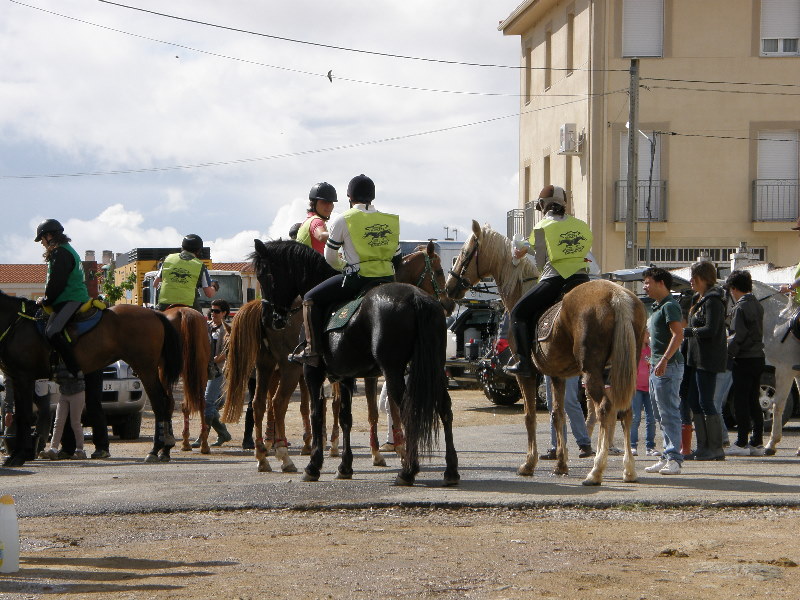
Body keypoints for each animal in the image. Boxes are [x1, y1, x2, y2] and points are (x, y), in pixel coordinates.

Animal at [0, 290, 181, 468]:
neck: (15, 325)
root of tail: (154, 313)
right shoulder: (16, 379)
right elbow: (18, 414)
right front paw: (15, 455)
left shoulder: (24, 378)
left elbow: (23, 415)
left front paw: (19, 455)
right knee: (167, 402)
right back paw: (165, 449)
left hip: (145, 369)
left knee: (159, 403)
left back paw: (155, 450)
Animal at [223, 243, 456, 474]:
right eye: (439, 271)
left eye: (265, 275)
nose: (449, 304)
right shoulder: (352, 374)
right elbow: (351, 412)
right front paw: (375, 453)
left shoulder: (343, 373)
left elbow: (346, 412)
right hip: (283, 368)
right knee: (273, 403)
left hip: (274, 367)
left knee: (264, 403)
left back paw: (268, 455)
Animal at [446, 223, 648, 486]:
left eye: (465, 252)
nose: (449, 287)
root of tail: (617, 297)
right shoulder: (556, 375)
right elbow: (557, 415)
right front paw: (561, 464)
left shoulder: (526, 374)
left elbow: (530, 416)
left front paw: (528, 464)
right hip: (622, 370)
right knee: (625, 410)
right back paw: (628, 469)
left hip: (593, 372)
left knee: (605, 409)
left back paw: (596, 471)